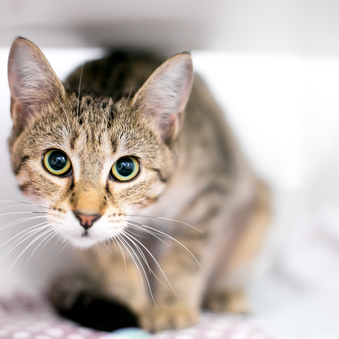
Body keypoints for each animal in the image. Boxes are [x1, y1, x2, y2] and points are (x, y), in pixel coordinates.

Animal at [6, 36, 270, 332]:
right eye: (57, 161)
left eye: (125, 168)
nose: (86, 217)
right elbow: (116, 261)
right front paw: (137, 307)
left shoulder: (210, 193)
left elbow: (185, 256)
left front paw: (173, 306)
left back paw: (223, 292)